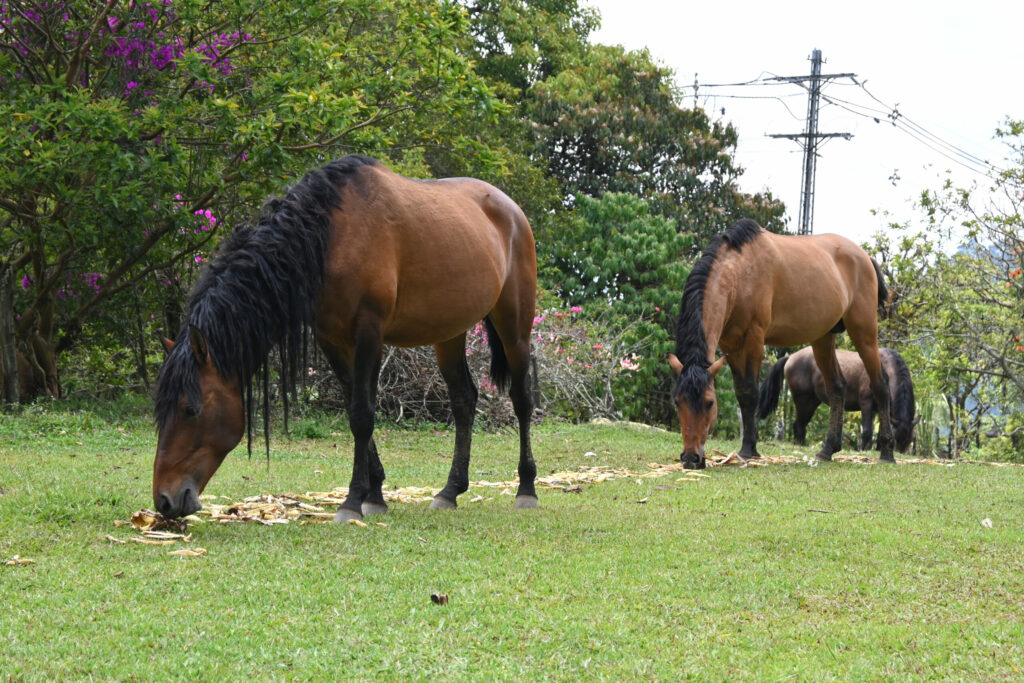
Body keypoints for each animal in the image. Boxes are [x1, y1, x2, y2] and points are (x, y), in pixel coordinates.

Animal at [151, 154, 540, 518]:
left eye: (190, 410)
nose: (164, 501)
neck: (327, 238)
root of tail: (511, 209)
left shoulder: (369, 333)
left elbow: (361, 415)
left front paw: (352, 502)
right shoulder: (332, 341)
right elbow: (355, 405)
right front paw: (375, 495)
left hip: (514, 327)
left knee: (522, 400)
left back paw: (526, 489)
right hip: (449, 333)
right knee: (464, 400)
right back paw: (450, 491)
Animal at [667, 222, 892, 466]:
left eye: (709, 402)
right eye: (677, 402)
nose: (691, 458)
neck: (739, 271)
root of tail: (864, 257)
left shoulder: (754, 339)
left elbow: (750, 392)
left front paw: (749, 449)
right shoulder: (730, 346)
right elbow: (741, 392)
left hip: (864, 332)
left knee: (880, 384)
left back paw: (886, 453)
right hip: (823, 337)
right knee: (836, 387)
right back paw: (828, 450)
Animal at [757, 348, 917, 454]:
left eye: (909, 439)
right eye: (897, 439)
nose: (900, 453)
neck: (885, 366)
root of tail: (791, 357)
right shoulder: (866, 404)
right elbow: (867, 430)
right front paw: (864, 450)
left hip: (812, 402)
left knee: (800, 425)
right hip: (804, 401)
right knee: (798, 425)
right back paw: (800, 445)